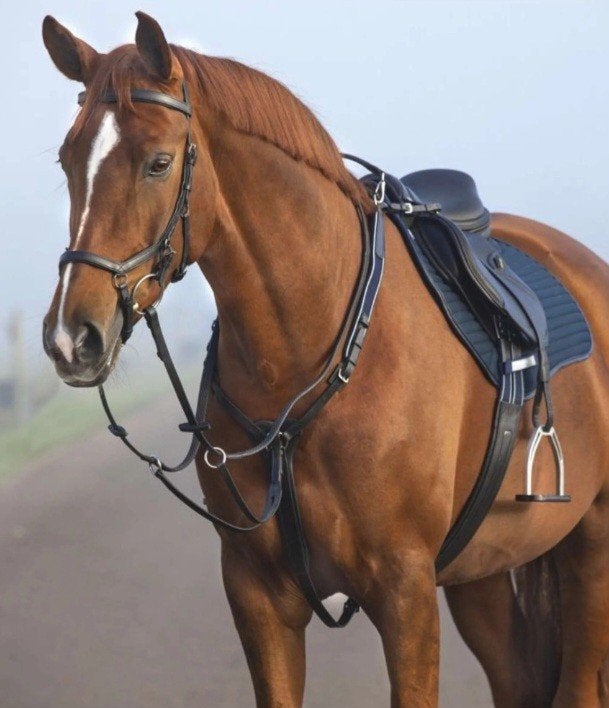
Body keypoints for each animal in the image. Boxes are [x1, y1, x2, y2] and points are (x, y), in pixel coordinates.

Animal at [41, 12, 609, 707]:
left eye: (158, 162)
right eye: (68, 160)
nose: (72, 337)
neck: (301, 367)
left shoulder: (406, 594)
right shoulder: (257, 596)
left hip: (591, 553)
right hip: (484, 574)